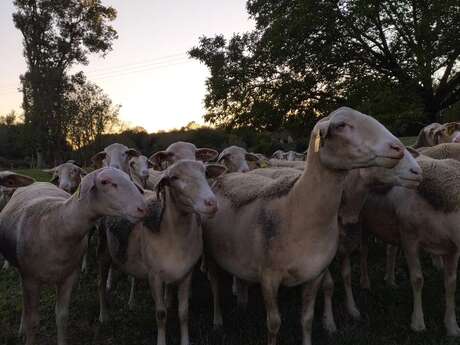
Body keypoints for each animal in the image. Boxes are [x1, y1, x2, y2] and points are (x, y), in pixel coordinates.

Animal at [0, 167, 146, 344]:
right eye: (105, 181)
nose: (143, 208)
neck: (55, 223)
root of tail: (38, 182)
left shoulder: (69, 277)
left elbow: (62, 317)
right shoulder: (30, 279)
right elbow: (33, 321)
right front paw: (27, 331)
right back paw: (22, 326)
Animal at [98, 161, 226, 344]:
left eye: (205, 173)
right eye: (174, 177)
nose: (211, 203)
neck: (175, 238)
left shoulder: (186, 274)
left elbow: (184, 313)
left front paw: (185, 341)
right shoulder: (155, 277)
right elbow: (160, 314)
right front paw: (161, 340)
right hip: (103, 249)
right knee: (100, 284)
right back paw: (103, 315)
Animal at [203, 106, 404, 342]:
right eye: (341, 125)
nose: (398, 147)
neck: (298, 211)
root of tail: (229, 176)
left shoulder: (313, 275)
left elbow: (307, 319)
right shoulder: (268, 278)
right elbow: (273, 324)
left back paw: (242, 303)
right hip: (210, 254)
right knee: (214, 286)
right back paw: (217, 320)